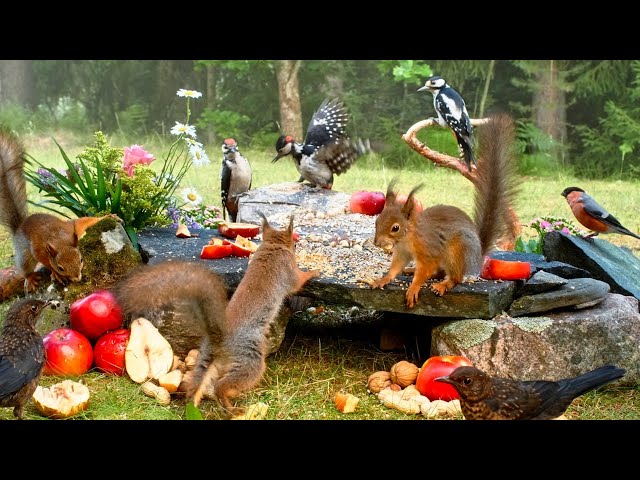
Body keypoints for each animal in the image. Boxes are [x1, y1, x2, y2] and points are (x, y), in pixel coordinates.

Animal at [0, 128, 113, 292]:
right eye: (60, 267)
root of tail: (19, 226)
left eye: (81, 259)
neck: (59, 239)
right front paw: (56, 274)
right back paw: (30, 278)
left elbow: (83, 221)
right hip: (24, 254)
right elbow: (45, 261)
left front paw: (107, 216)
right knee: (25, 267)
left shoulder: (71, 227)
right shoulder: (39, 249)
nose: (77, 278)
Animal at [112, 214, 319, 417]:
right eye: (294, 244)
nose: (296, 246)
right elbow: (298, 281)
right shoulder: (288, 269)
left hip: (206, 358)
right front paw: (314, 271)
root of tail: (217, 337)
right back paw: (231, 407)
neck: (272, 247)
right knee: (222, 385)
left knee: (199, 385)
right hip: (249, 361)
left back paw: (196, 405)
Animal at [369, 112, 519, 308]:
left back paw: (443, 285)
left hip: (456, 251)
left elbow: (425, 271)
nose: (376, 242)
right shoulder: (401, 253)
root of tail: (477, 255)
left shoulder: (429, 252)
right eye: (377, 221)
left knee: (455, 277)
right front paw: (383, 280)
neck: (408, 238)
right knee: (439, 272)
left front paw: (414, 288)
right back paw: (411, 270)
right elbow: (395, 269)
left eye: (395, 228)